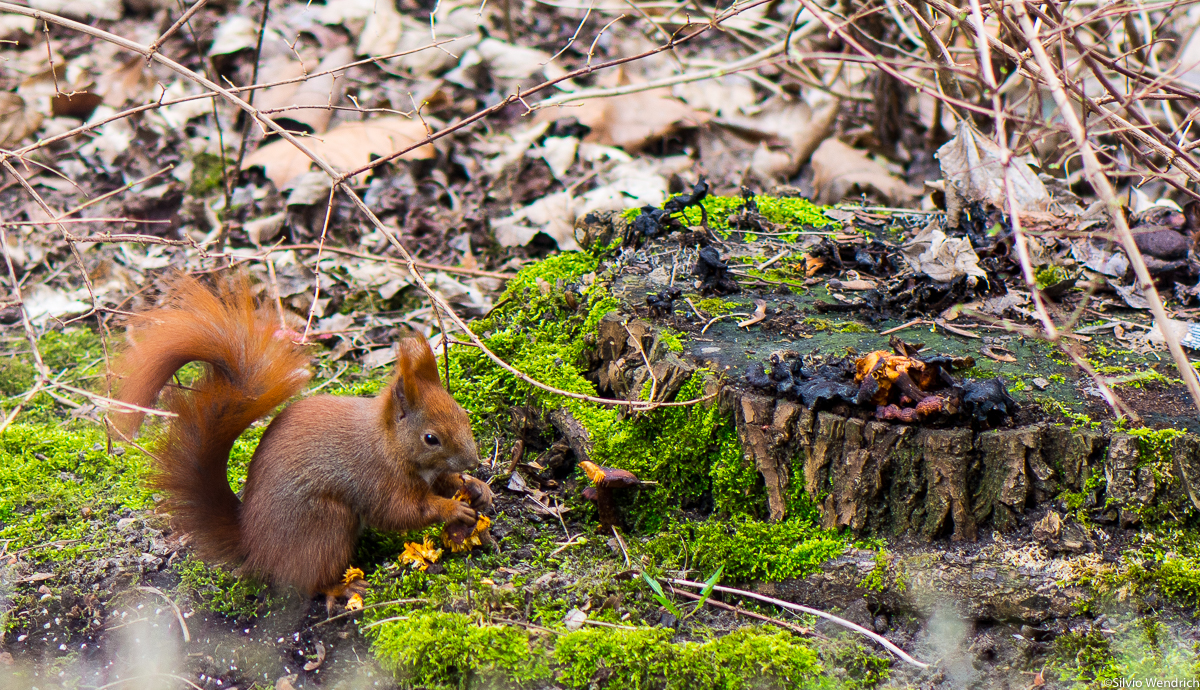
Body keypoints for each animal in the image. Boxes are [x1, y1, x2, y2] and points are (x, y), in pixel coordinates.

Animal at [109, 272, 492, 602]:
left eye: (463, 414)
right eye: (431, 438)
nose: (475, 461)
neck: (388, 444)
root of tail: (255, 546)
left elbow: (445, 482)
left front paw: (475, 487)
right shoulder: (377, 479)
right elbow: (401, 512)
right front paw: (452, 508)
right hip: (325, 525)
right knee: (309, 581)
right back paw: (342, 588)